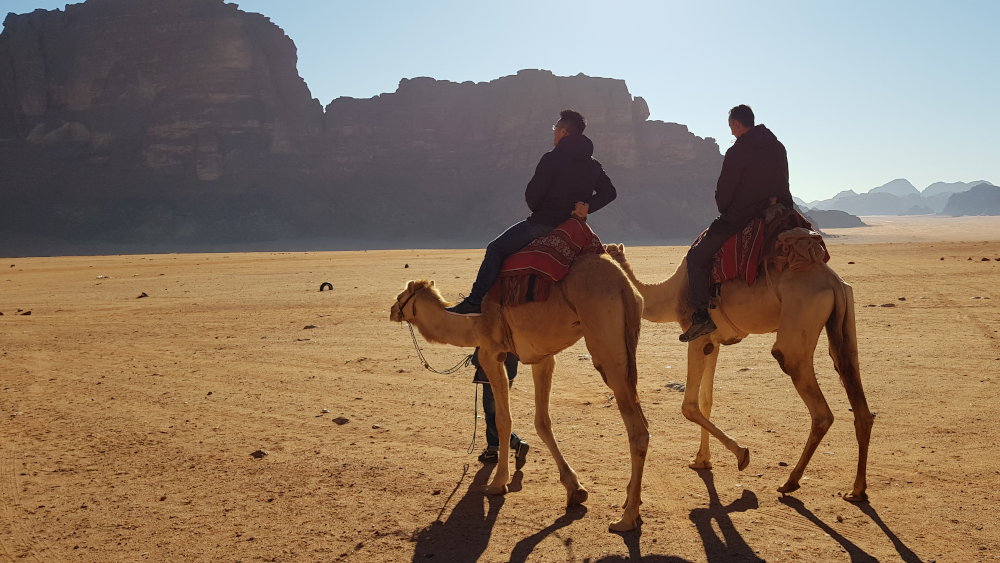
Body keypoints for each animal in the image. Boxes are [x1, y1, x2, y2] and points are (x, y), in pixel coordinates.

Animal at [386, 253, 652, 532]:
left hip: (606, 345)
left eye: (401, 295)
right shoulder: (542, 358)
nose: (391, 310)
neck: (470, 322)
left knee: (638, 430)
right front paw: (575, 489)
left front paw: (497, 483)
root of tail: (623, 284)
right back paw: (630, 502)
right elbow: (542, 422)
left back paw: (626, 519)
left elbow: (503, 419)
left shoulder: (490, 353)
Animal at [600, 242, 876, 502]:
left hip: (798, 328)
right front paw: (701, 459)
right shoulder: (713, 342)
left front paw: (741, 455)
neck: (670, 294)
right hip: (844, 322)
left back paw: (790, 482)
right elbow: (706, 400)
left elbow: (689, 406)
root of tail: (832, 281)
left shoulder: (696, 337)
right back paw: (857, 490)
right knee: (855, 390)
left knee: (818, 407)